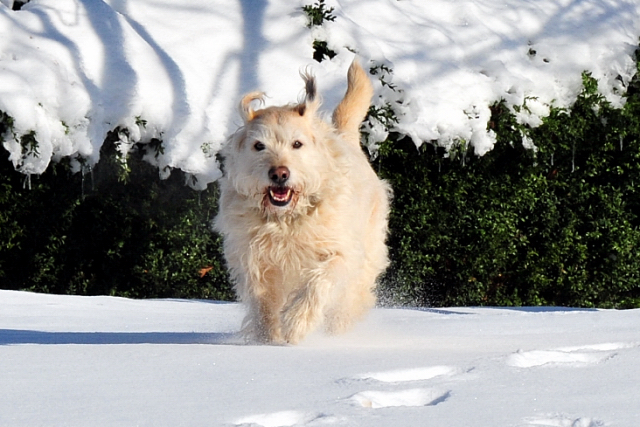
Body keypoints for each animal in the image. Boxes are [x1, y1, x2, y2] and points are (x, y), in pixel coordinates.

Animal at [214, 60, 390, 346]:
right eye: (259, 145)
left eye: (297, 143)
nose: (279, 174)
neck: (286, 219)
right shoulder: (254, 260)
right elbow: (263, 301)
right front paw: (266, 338)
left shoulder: (341, 253)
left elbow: (319, 283)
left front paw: (296, 324)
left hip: (367, 255)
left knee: (351, 299)